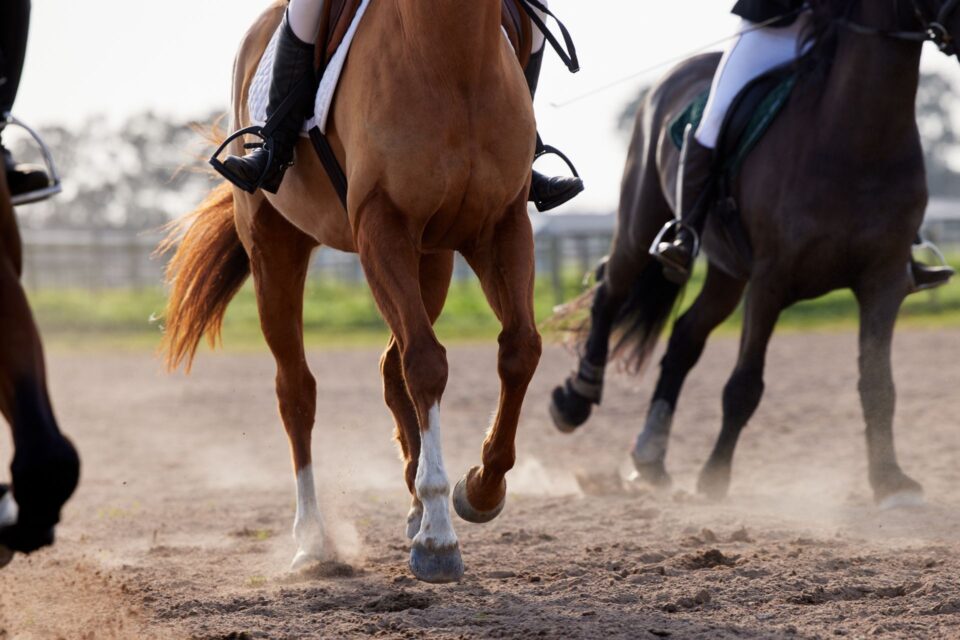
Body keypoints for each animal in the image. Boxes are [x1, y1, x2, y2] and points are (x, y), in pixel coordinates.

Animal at [548, 0, 952, 510]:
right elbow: (744, 386)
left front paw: (891, 482)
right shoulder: (770, 281)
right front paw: (714, 478)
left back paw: (651, 457)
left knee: (685, 336)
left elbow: (879, 383)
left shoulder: (884, 282)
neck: (857, 138)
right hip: (640, 225)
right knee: (610, 291)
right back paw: (574, 402)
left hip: (727, 272)